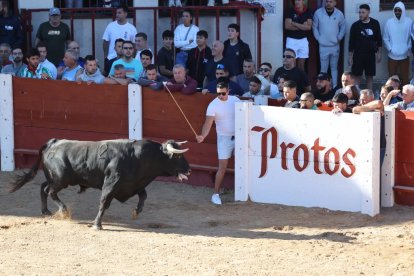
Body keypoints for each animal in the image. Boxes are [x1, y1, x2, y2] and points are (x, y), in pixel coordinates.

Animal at [9, 139, 191, 230]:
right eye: (177, 156)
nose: (189, 170)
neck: (140, 157)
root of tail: (52, 143)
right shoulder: (111, 183)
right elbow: (104, 203)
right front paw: (97, 225)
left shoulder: (133, 184)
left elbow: (144, 195)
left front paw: (136, 212)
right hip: (62, 179)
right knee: (50, 190)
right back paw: (63, 210)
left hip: (55, 178)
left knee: (43, 187)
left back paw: (46, 211)